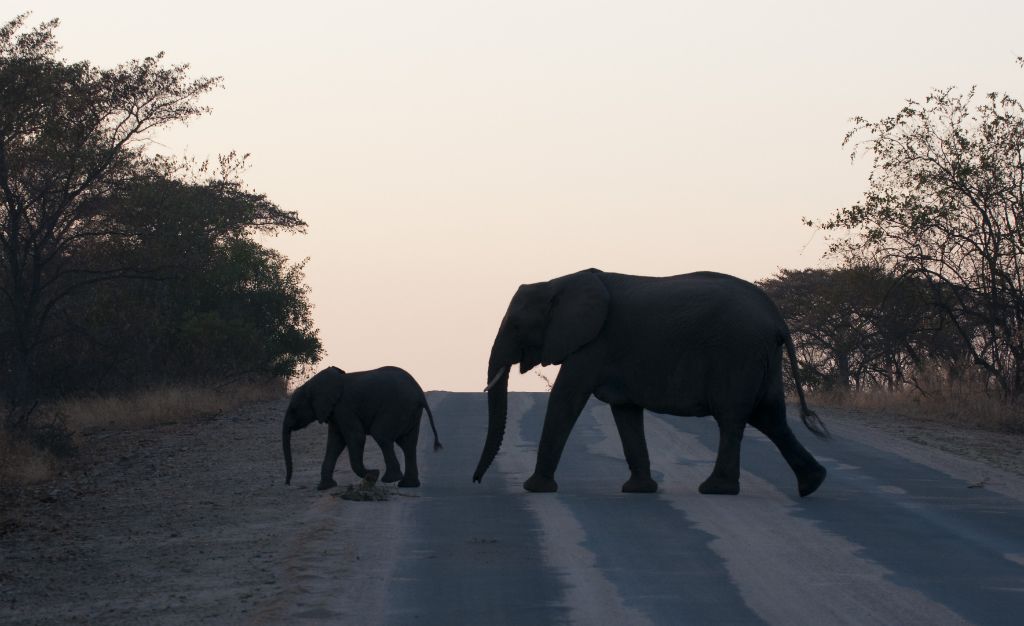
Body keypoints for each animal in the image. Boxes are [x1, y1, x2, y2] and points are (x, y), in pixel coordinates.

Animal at [282, 366, 442, 489]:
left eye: (294, 410)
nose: (288, 483)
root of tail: (420, 393)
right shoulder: (335, 413)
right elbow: (335, 443)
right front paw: (325, 487)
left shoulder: (344, 408)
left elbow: (355, 437)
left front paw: (373, 475)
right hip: (410, 412)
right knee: (408, 444)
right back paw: (407, 484)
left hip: (396, 407)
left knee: (382, 435)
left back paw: (389, 479)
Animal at [473, 268, 831, 499]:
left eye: (515, 325)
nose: (476, 481)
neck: (556, 283)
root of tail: (777, 319)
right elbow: (625, 412)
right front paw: (638, 490)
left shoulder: (593, 344)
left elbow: (566, 397)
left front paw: (534, 488)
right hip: (760, 358)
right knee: (771, 418)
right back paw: (812, 484)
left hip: (737, 354)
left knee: (732, 418)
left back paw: (716, 489)